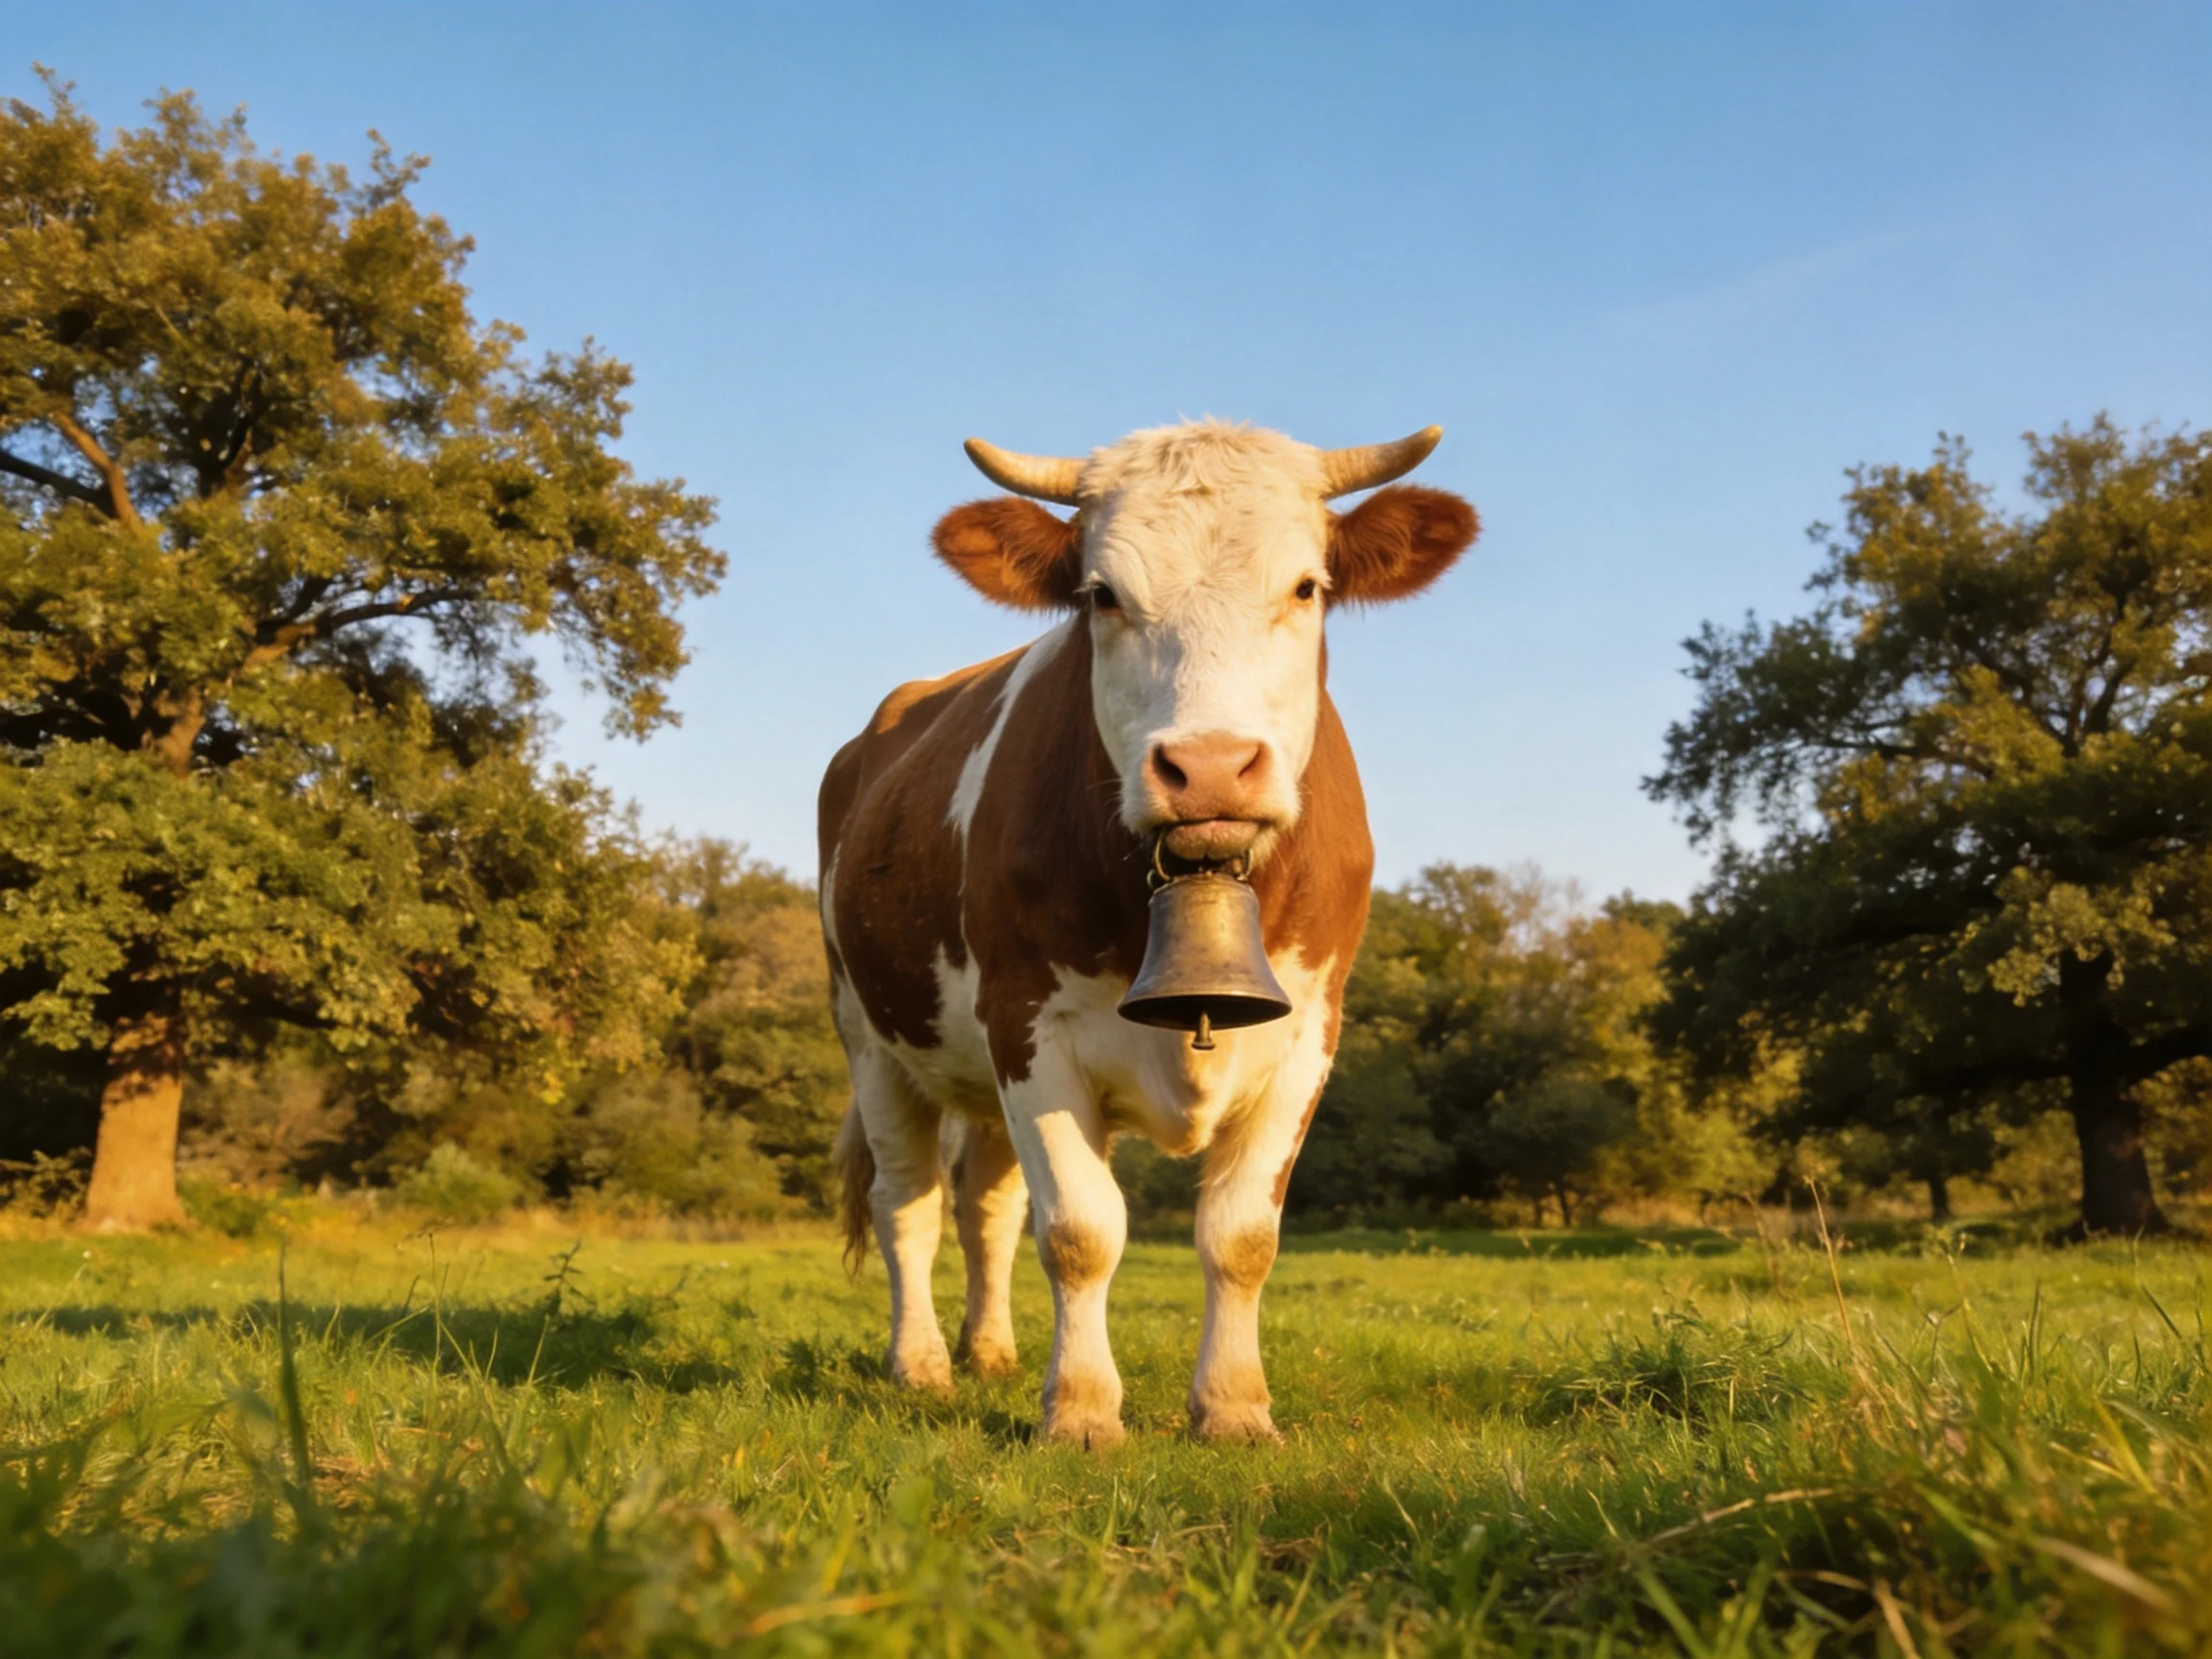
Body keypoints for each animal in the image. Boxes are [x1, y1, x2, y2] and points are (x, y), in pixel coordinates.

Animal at [819, 419, 1478, 1446]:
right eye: (1102, 594)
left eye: (1307, 586)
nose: (1208, 767)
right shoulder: (1028, 1024)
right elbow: (1081, 1232)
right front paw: (1083, 1411)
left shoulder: (1309, 1033)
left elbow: (1241, 1236)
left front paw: (1235, 1407)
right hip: (871, 1035)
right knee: (908, 1204)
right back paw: (920, 1364)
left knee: (985, 1205)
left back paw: (990, 1351)